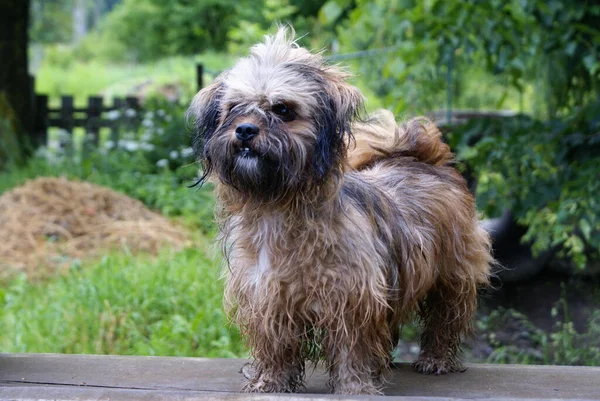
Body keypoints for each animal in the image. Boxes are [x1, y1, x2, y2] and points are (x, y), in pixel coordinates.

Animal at [188, 28, 492, 394]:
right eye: (233, 108)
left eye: (283, 109)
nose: (245, 130)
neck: (278, 207)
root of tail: (421, 157)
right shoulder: (268, 297)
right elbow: (275, 346)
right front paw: (271, 382)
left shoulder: (352, 297)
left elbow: (352, 349)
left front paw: (355, 388)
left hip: (452, 273)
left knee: (445, 319)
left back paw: (436, 359)